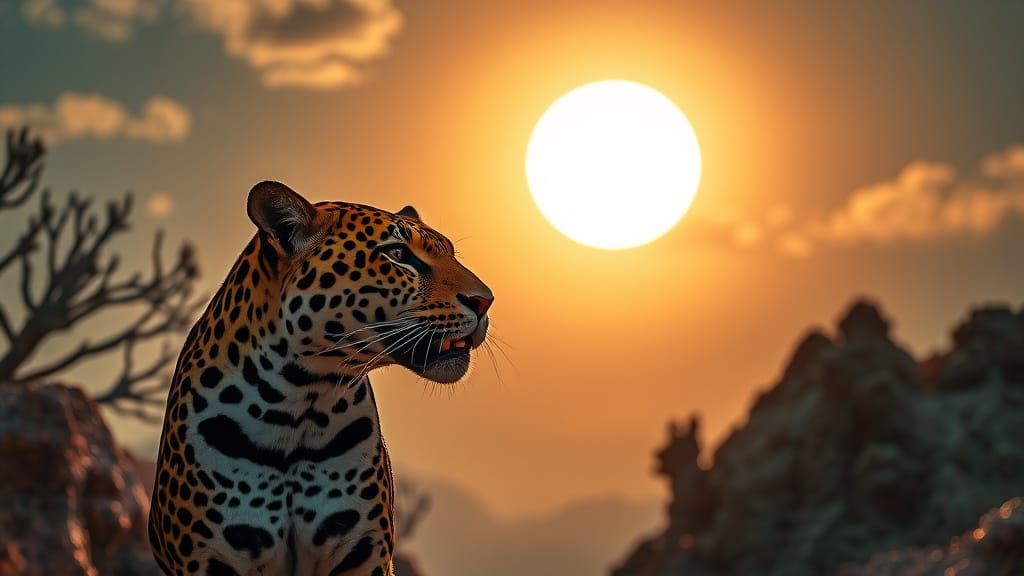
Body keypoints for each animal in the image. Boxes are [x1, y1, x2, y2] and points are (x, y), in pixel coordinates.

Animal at [148, 181, 493, 576]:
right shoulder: (210, 559)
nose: (486, 301)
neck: (297, 403)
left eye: (451, 253)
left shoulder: (360, 553)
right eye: (397, 254)